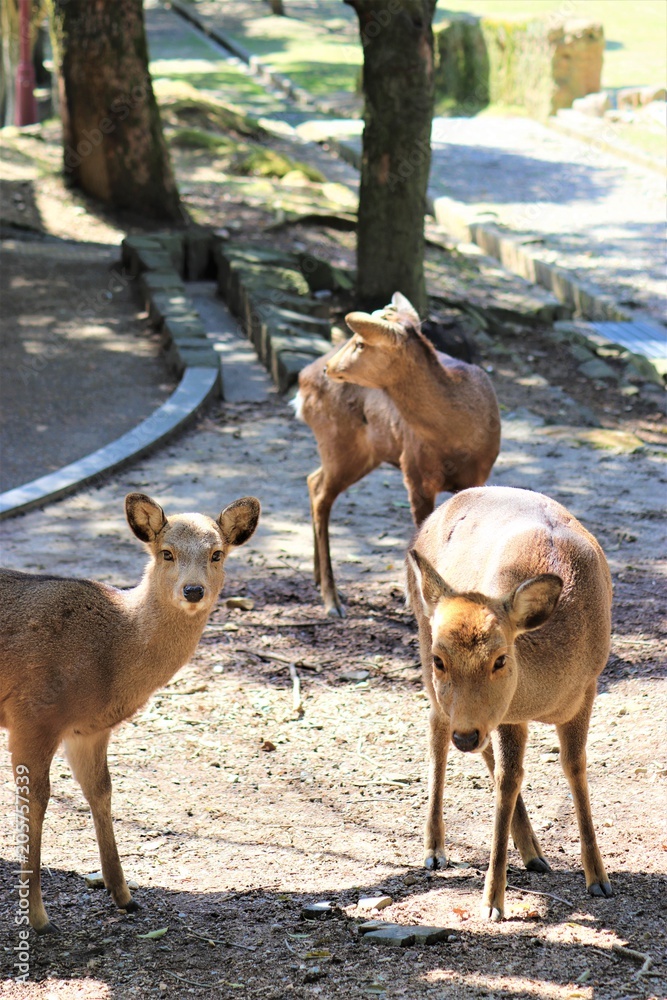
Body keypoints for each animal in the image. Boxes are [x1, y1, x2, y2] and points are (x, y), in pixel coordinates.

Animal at [0, 496, 260, 932]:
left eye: (217, 554)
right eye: (166, 552)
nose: (193, 590)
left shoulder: (88, 730)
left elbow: (101, 790)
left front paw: (124, 895)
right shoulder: (31, 715)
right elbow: (34, 799)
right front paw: (37, 917)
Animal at [296, 290, 500, 616]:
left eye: (360, 343)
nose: (330, 368)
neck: (457, 437)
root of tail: (303, 380)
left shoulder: (479, 474)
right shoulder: (414, 472)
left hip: (360, 453)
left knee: (312, 480)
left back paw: (317, 579)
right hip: (340, 444)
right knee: (321, 495)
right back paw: (332, 599)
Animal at [404, 486, 612, 920]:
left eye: (500, 658)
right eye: (440, 659)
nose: (466, 736)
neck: (543, 699)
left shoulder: (587, 688)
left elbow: (575, 767)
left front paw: (599, 879)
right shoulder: (509, 716)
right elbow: (508, 779)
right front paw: (492, 902)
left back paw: (533, 852)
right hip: (424, 637)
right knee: (437, 727)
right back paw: (435, 849)